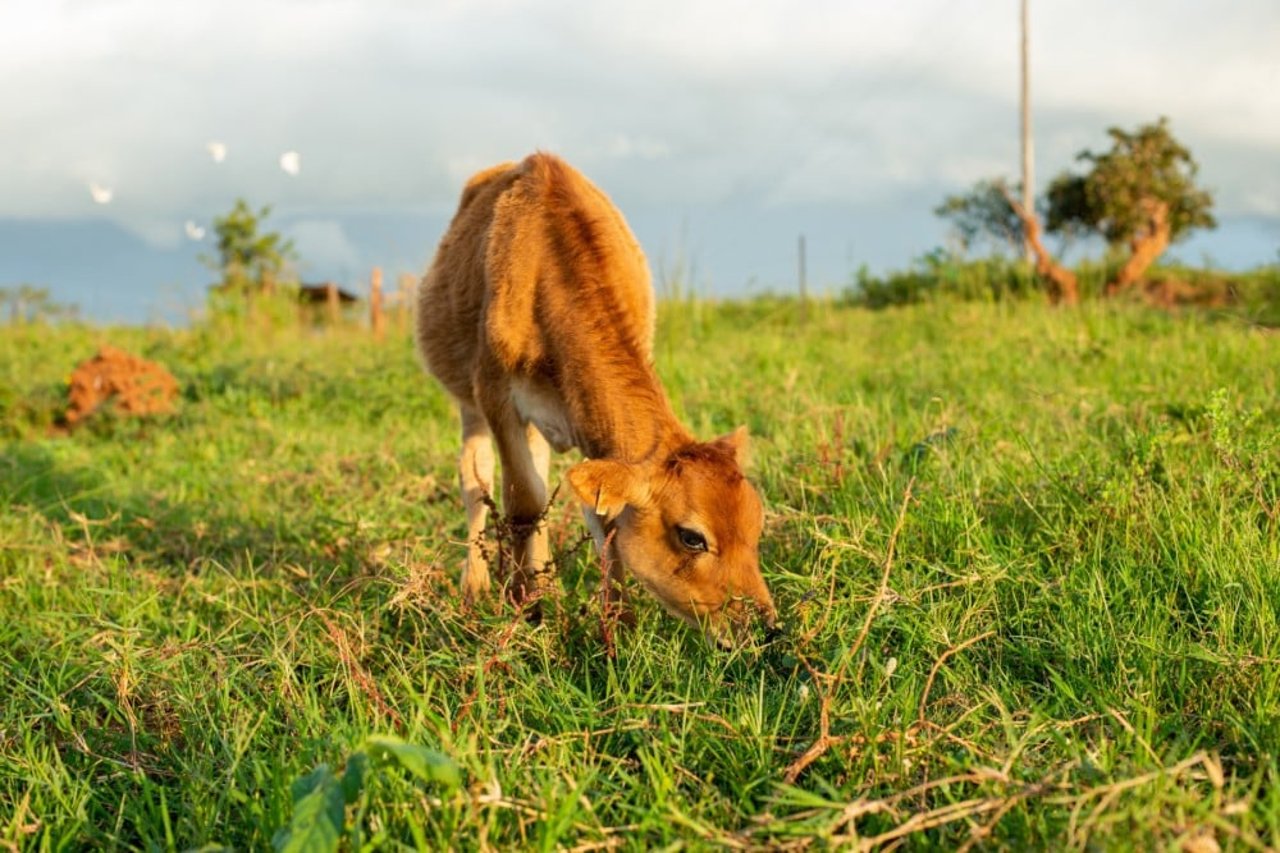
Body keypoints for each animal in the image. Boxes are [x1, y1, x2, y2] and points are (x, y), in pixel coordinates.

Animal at [417, 154, 778, 645]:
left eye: (757, 525)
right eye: (692, 536)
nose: (766, 628)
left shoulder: (591, 424)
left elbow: (600, 518)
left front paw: (618, 626)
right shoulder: (495, 394)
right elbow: (521, 502)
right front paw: (523, 608)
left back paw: (546, 584)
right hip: (467, 402)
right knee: (477, 479)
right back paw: (478, 588)